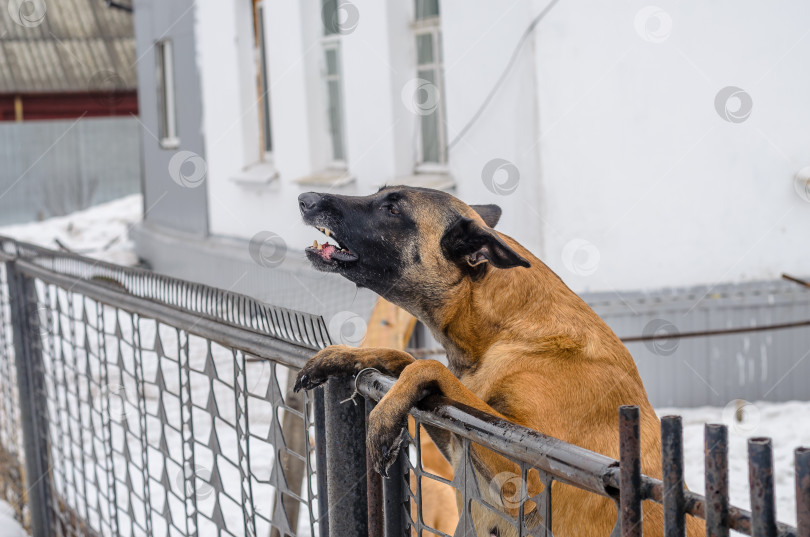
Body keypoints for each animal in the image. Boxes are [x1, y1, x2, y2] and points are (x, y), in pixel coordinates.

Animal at [292, 185, 700, 536]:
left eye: (393, 210)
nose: (305, 198)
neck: (505, 329)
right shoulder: (460, 441)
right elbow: (405, 356)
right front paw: (343, 356)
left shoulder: (530, 470)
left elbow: (427, 365)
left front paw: (383, 418)